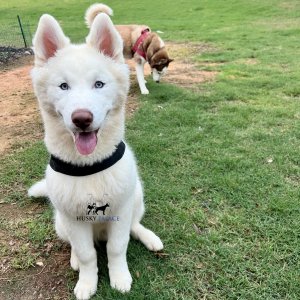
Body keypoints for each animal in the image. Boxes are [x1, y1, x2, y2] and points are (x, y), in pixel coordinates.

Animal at [27, 11, 163, 300]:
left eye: (99, 84)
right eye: (63, 86)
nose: (82, 119)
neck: (89, 166)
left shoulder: (120, 212)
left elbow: (117, 247)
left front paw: (120, 277)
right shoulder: (75, 221)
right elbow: (87, 254)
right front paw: (87, 282)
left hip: (136, 196)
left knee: (135, 225)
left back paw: (149, 238)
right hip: (61, 222)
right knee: (76, 246)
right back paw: (74, 261)